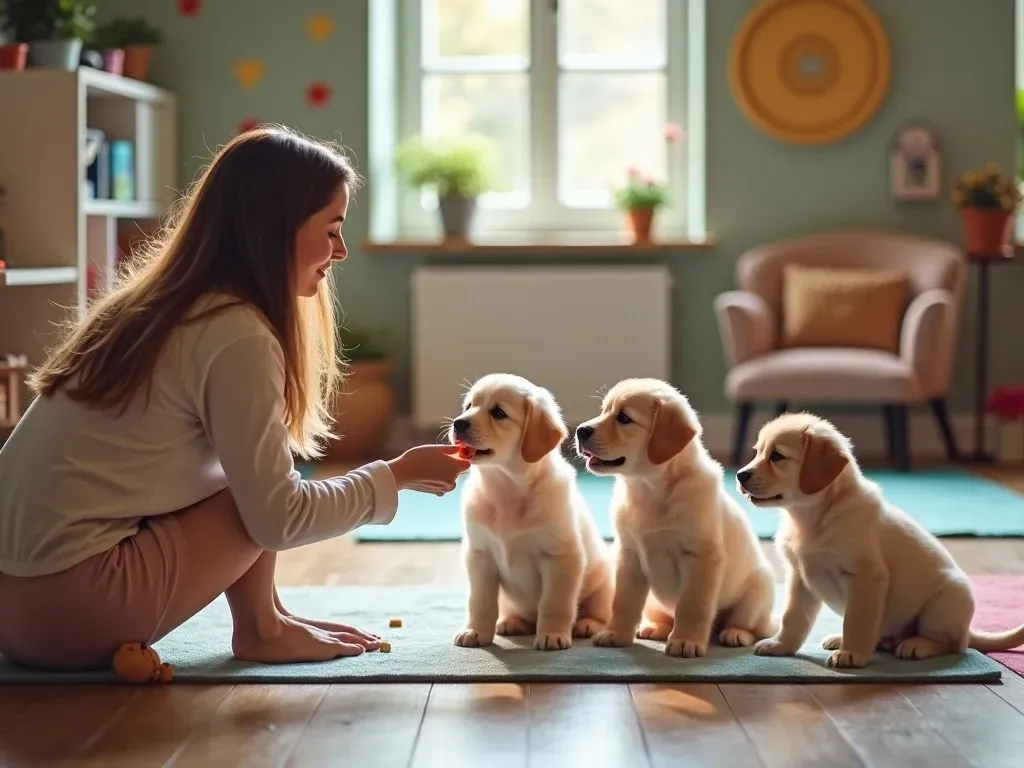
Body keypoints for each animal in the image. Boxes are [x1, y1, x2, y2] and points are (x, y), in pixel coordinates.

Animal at [446, 376, 606, 651]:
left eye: (498, 413)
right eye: (469, 406)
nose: (458, 423)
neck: (507, 488)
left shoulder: (561, 558)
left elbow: (554, 604)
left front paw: (552, 635)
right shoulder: (480, 555)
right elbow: (480, 602)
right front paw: (475, 631)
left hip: (603, 584)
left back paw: (589, 625)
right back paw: (511, 622)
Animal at [577, 378, 774, 655]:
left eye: (624, 418)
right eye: (604, 411)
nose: (580, 431)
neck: (649, 489)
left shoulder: (701, 558)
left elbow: (692, 606)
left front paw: (686, 641)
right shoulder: (629, 554)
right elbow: (623, 602)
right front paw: (616, 634)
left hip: (758, 590)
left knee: (755, 626)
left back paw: (736, 633)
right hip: (653, 601)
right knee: (665, 616)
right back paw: (655, 628)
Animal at [741, 411, 1024, 671]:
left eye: (777, 456)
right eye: (757, 452)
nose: (740, 475)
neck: (814, 518)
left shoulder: (866, 576)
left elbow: (857, 619)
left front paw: (852, 653)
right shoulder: (800, 578)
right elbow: (793, 617)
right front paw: (780, 645)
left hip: (947, 601)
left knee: (953, 644)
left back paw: (917, 644)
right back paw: (844, 639)